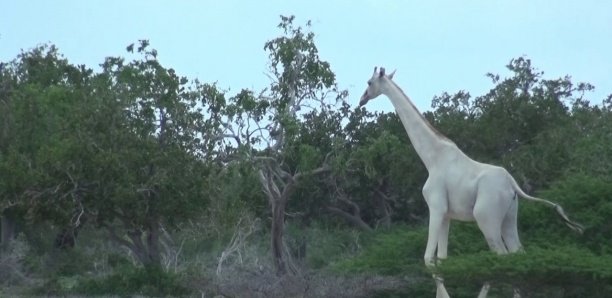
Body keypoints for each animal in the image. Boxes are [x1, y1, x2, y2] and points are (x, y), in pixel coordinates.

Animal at [358, 67, 584, 298]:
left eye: (369, 82)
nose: (361, 100)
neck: (432, 158)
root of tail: (512, 184)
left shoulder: (436, 208)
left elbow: (429, 260)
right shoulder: (447, 215)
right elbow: (443, 260)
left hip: (486, 218)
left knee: (500, 259)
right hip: (509, 218)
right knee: (518, 254)